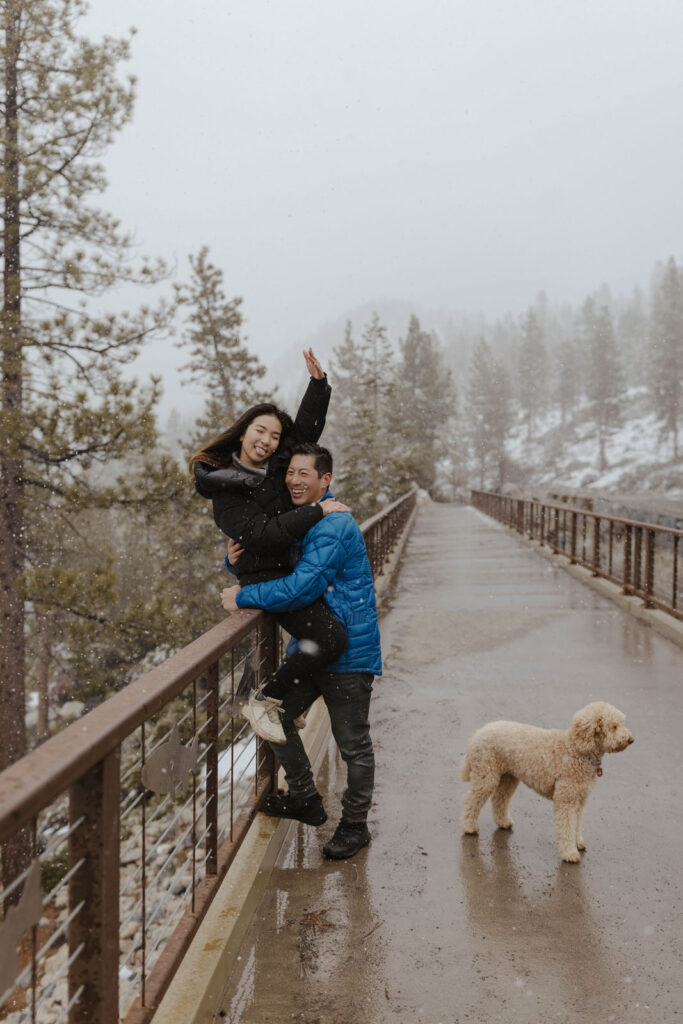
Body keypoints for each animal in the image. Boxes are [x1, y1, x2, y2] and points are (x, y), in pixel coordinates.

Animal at [458, 700, 634, 860]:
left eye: (621, 723)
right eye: (614, 726)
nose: (631, 740)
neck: (577, 750)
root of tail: (477, 733)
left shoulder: (579, 799)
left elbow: (576, 824)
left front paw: (578, 843)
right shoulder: (566, 799)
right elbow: (567, 826)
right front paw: (569, 853)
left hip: (508, 777)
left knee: (499, 799)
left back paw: (503, 822)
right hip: (486, 775)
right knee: (471, 800)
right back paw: (469, 826)